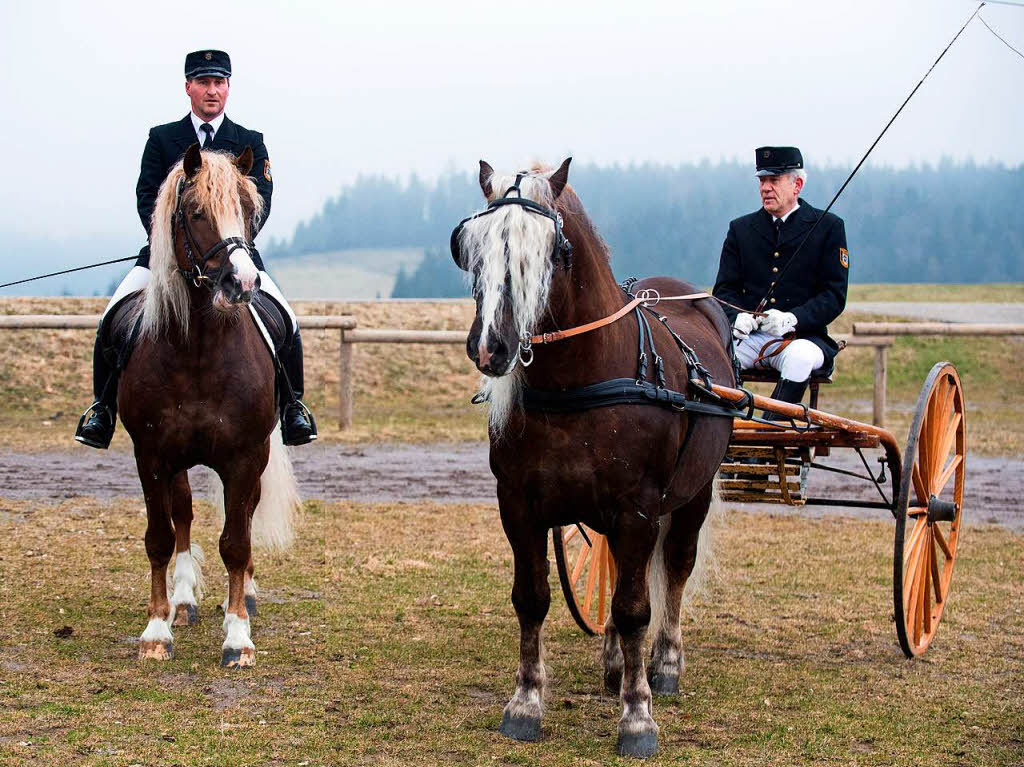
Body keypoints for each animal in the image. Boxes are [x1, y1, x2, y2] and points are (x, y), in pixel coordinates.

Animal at [452, 158, 733, 757]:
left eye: (553, 252)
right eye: (470, 247)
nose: (491, 347)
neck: (578, 379)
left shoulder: (638, 510)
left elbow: (634, 609)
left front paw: (638, 716)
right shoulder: (519, 507)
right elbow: (532, 598)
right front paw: (525, 704)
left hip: (693, 495)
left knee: (675, 568)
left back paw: (664, 665)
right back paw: (614, 664)